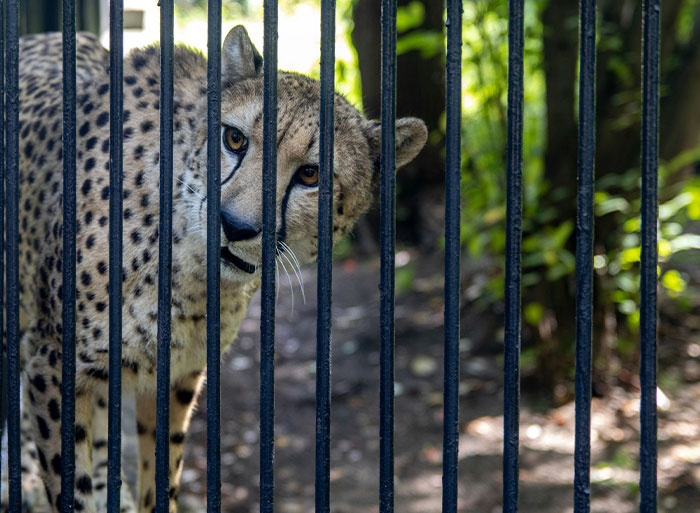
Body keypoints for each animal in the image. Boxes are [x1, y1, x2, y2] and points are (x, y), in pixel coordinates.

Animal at [1, 25, 426, 513]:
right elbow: (72, 488)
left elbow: (160, 475)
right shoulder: (52, 360)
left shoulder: (174, 375)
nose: (234, 225)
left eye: (311, 174)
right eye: (235, 139)